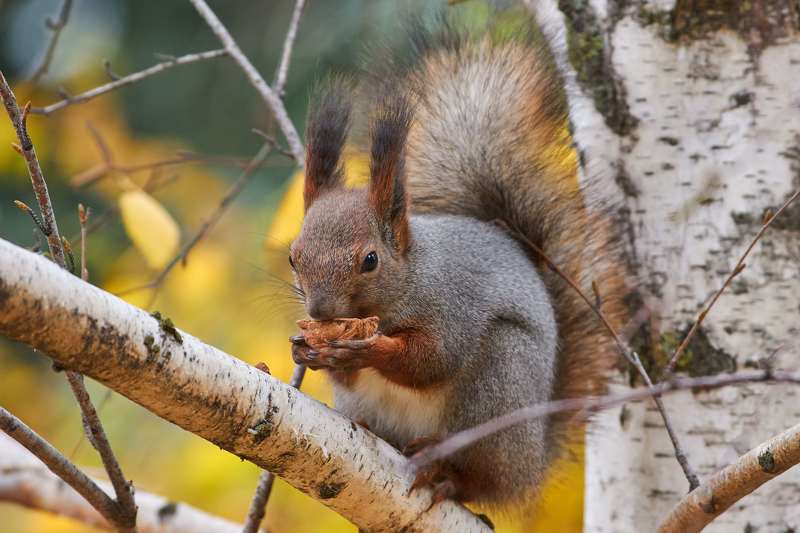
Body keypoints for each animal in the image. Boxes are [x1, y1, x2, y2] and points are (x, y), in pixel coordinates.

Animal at [288, 15, 627, 510]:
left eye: (370, 260)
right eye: (293, 257)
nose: (319, 311)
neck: (411, 278)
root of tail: (532, 463)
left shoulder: (453, 307)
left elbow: (432, 361)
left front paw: (370, 349)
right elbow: (350, 376)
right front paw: (308, 350)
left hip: (498, 387)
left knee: (479, 479)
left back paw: (443, 471)